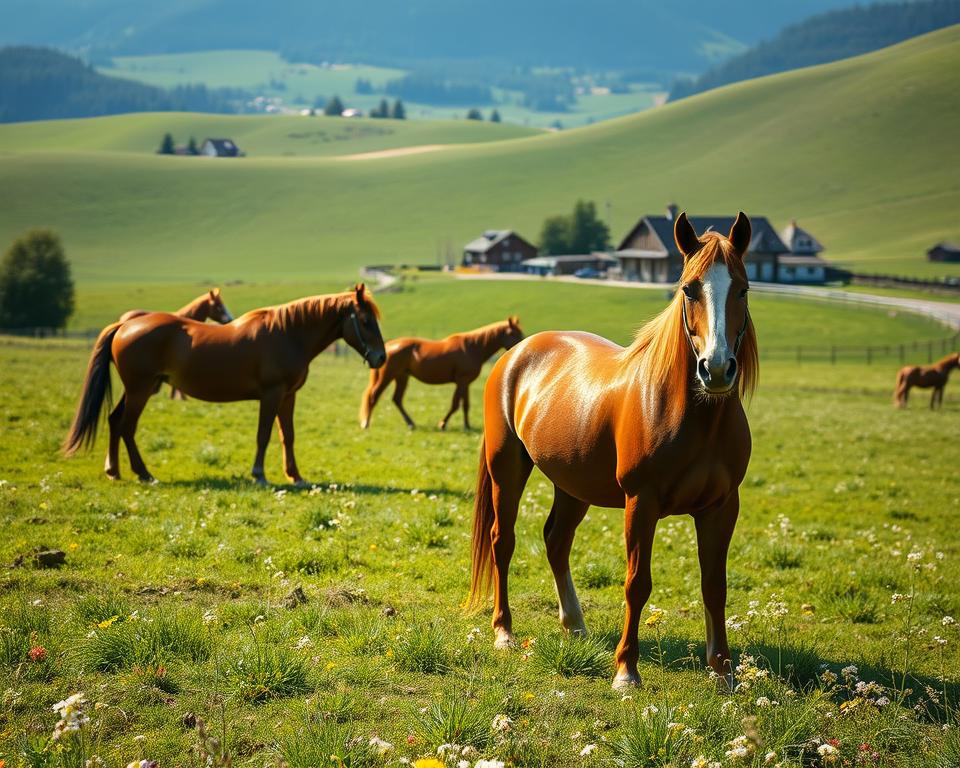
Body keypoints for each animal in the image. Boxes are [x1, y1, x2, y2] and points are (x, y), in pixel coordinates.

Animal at [63, 284, 386, 485]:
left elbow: (288, 436)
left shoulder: (288, 396)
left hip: (137, 389)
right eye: (366, 321)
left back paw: (114, 470)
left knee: (115, 421)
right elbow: (263, 435)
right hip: (140, 390)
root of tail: (126, 324)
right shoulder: (271, 395)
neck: (288, 333)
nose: (381, 357)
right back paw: (144, 473)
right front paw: (259, 474)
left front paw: (295, 476)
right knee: (127, 427)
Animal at [359, 317, 525, 431]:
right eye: (515, 334)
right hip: (388, 376)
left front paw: (467, 425)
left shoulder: (466, 383)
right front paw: (443, 424)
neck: (472, 347)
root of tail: (388, 346)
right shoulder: (461, 382)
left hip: (402, 377)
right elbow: (455, 404)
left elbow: (465, 405)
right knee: (373, 396)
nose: (523, 346)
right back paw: (366, 423)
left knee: (397, 399)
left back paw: (411, 424)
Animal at [468, 212, 758, 689]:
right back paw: (504, 631)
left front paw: (722, 672)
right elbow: (637, 583)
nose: (716, 369)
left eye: (743, 288)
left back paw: (574, 625)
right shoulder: (641, 502)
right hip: (507, 470)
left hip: (572, 485)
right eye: (689, 289)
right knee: (502, 541)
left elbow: (715, 587)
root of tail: (516, 354)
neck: (692, 416)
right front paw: (626, 671)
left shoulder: (721, 506)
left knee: (556, 540)